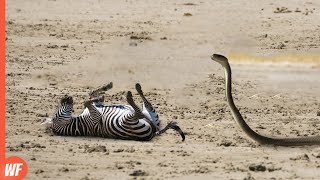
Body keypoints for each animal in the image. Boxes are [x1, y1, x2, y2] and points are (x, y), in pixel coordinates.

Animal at [43, 82, 186, 141]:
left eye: (56, 110)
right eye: (56, 115)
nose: (66, 97)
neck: (78, 122)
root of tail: (152, 132)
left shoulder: (96, 108)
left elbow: (91, 95)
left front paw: (105, 88)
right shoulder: (96, 117)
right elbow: (87, 101)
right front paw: (101, 95)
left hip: (150, 115)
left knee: (146, 105)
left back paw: (137, 89)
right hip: (127, 121)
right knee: (138, 112)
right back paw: (130, 96)